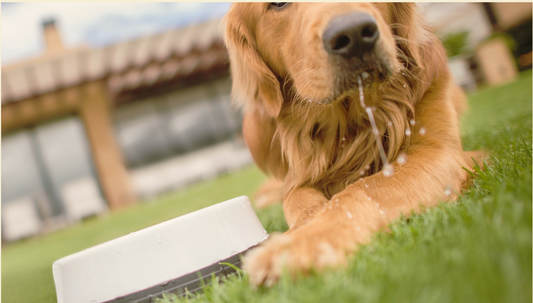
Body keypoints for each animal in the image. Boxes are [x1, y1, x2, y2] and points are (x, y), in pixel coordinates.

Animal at [223, 2, 482, 288]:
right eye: (277, 4)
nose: (355, 34)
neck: (351, 124)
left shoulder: (437, 151)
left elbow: (362, 189)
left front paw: (301, 245)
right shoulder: (299, 178)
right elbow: (299, 201)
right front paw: (301, 230)